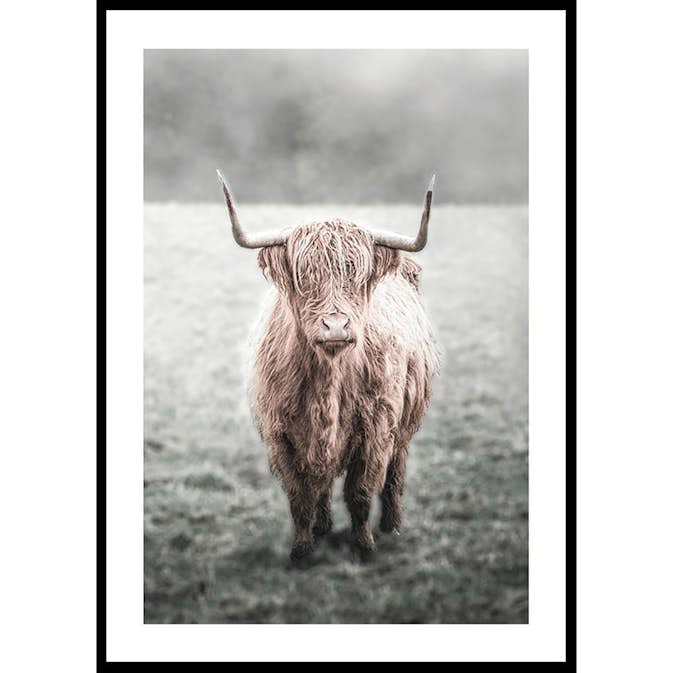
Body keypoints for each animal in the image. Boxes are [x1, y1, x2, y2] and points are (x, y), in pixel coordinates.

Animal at [216, 170, 440, 566]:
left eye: (358, 276)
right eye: (304, 276)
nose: (336, 326)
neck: (329, 379)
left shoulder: (376, 432)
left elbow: (361, 493)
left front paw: (364, 546)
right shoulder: (282, 437)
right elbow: (300, 498)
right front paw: (302, 549)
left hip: (405, 426)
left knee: (395, 475)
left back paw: (393, 526)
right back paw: (322, 527)